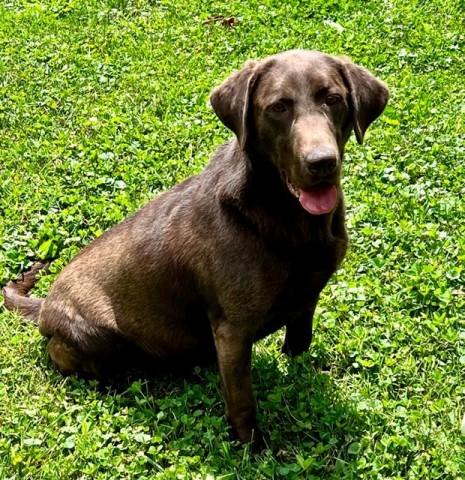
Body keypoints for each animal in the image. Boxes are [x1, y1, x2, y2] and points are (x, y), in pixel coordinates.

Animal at [2, 50, 388, 448]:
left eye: (333, 99)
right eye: (278, 107)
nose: (323, 162)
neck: (285, 217)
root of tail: (46, 305)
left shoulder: (308, 295)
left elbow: (299, 340)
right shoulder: (233, 330)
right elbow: (242, 399)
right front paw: (252, 448)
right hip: (97, 337)